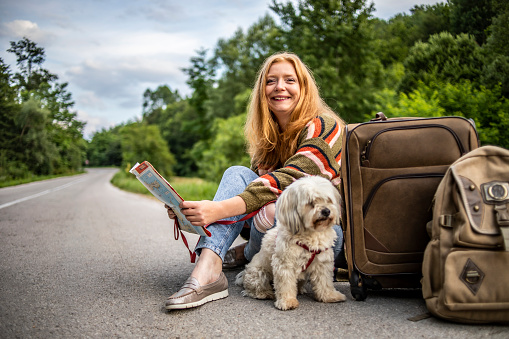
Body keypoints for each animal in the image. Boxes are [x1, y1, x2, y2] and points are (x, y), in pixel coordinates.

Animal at [235, 177, 346, 312]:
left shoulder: (322, 263)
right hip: (258, 273)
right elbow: (285, 285)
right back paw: (265, 293)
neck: (310, 234)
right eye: (310, 203)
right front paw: (287, 302)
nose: (326, 211)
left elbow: (325, 282)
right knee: (254, 288)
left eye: (328, 200)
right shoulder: (284, 264)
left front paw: (330, 296)